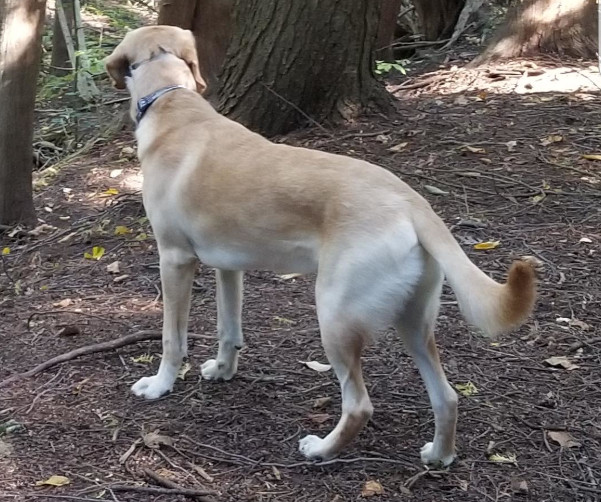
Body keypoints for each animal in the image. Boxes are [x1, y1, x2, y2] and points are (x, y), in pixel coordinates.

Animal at [104, 26, 540, 466]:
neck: (170, 99)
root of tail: (412, 203)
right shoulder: (229, 267)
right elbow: (229, 328)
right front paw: (224, 370)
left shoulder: (174, 260)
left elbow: (171, 339)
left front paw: (160, 385)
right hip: (413, 323)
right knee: (447, 397)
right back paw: (438, 455)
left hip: (334, 317)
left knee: (359, 405)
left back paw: (322, 448)